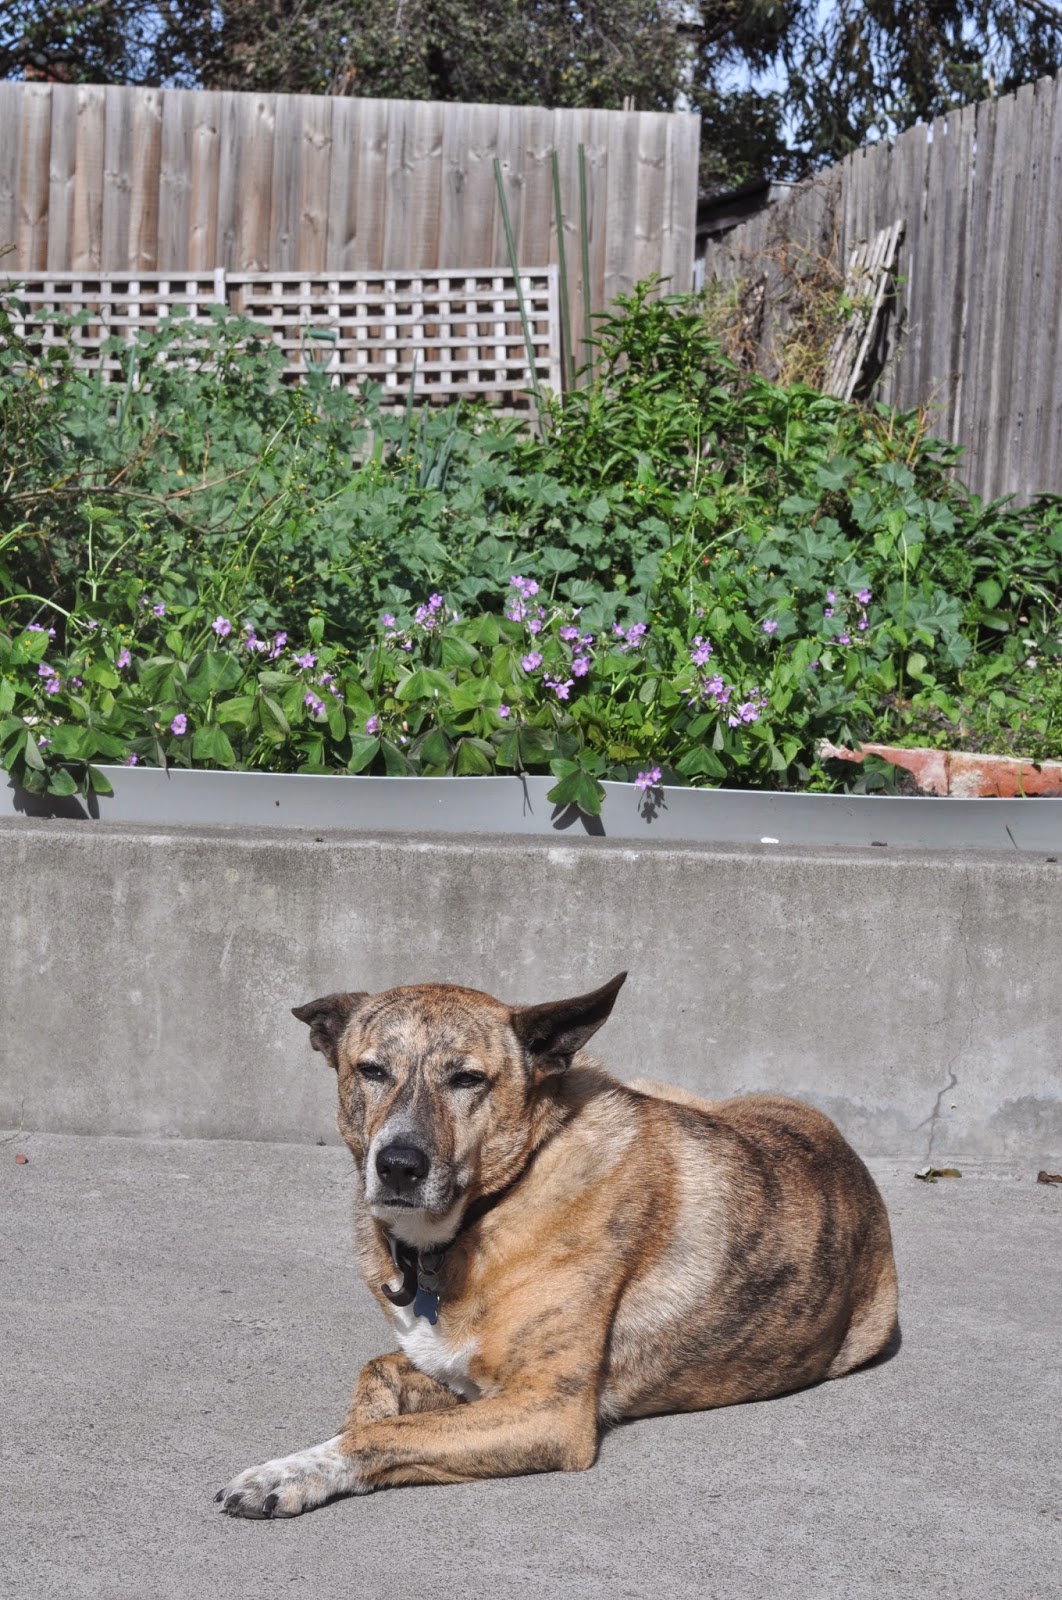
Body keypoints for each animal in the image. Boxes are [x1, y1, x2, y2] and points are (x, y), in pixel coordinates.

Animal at [216, 972, 898, 1517]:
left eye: (468, 1079)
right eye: (371, 1070)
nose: (399, 1166)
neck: (481, 1216)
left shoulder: (547, 1409)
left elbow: (379, 1435)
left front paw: (288, 1472)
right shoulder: (456, 1376)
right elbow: (377, 1378)